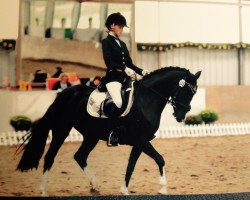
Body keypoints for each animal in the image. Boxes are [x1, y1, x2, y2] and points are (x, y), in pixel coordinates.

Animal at [17, 66, 201, 195]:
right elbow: (160, 159)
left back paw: (95, 186)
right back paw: (42, 190)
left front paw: (124, 190)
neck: (146, 100)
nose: (181, 116)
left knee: (80, 156)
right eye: (185, 91)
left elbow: (131, 165)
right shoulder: (139, 139)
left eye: (194, 93)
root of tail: (65, 92)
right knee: (50, 157)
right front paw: (163, 188)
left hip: (91, 136)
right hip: (62, 130)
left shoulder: (139, 142)